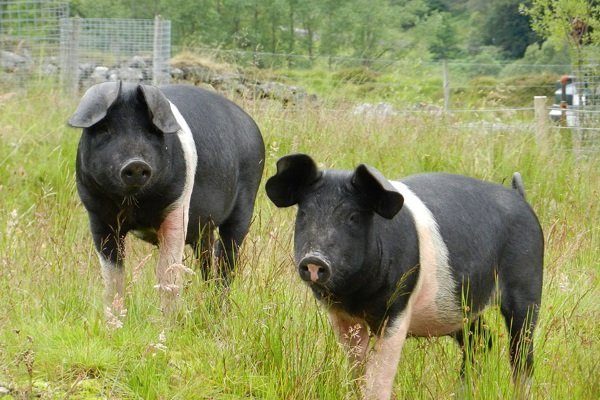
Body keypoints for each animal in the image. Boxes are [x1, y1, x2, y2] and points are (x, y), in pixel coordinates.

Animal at [68, 80, 264, 312]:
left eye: (151, 130)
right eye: (105, 129)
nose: (136, 163)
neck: (134, 205)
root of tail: (251, 123)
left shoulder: (178, 207)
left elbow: (167, 273)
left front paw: (168, 319)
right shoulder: (98, 215)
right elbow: (112, 278)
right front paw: (114, 318)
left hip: (247, 199)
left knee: (227, 258)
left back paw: (217, 309)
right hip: (204, 227)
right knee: (208, 256)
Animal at [266, 154, 544, 400]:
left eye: (353, 217)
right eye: (304, 214)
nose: (314, 260)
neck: (355, 296)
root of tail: (519, 196)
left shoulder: (397, 308)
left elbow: (379, 378)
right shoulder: (343, 317)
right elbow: (357, 370)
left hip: (527, 281)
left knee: (521, 352)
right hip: (460, 308)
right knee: (481, 340)